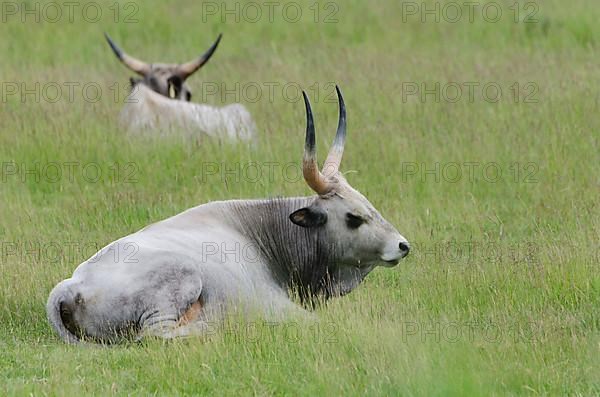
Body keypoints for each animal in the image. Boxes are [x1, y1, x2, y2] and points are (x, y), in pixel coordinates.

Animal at [47, 86, 410, 344]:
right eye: (353, 217)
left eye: (370, 206)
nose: (403, 245)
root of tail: (70, 285)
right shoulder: (278, 305)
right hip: (181, 280)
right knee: (154, 335)